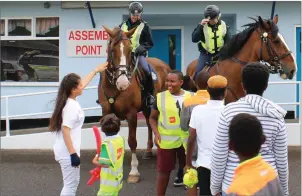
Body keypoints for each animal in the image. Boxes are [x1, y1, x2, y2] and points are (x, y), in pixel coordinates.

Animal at [98, 26, 171, 184]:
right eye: (112, 49)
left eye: (130, 50)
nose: (123, 82)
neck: (114, 87)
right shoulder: (106, 114)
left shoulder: (131, 115)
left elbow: (132, 141)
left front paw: (134, 172)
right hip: (146, 108)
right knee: (150, 124)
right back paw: (149, 151)